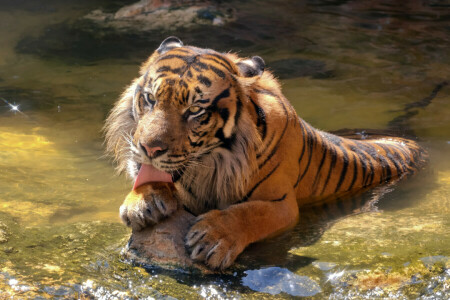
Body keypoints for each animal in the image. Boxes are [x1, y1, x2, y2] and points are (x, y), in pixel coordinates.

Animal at [103, 35, 428, 270]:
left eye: (195, 110)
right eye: (150, 99)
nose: (149, 148)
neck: (211, 164)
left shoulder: (282, 203)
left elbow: (250, 213)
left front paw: (213, 238)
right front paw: (143, 202)